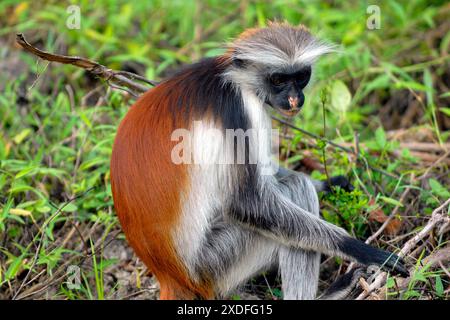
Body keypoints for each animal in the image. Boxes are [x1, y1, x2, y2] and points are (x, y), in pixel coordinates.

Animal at [110, 22, 408, 300]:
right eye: (277, 79)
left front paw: (329, 184)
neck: (232, 77)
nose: (294, 98)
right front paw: (357, 248)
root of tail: (170, 275)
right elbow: (248, 203)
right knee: (295, 191)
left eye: (301, 76)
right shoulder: (238, 108)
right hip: (216, 263)